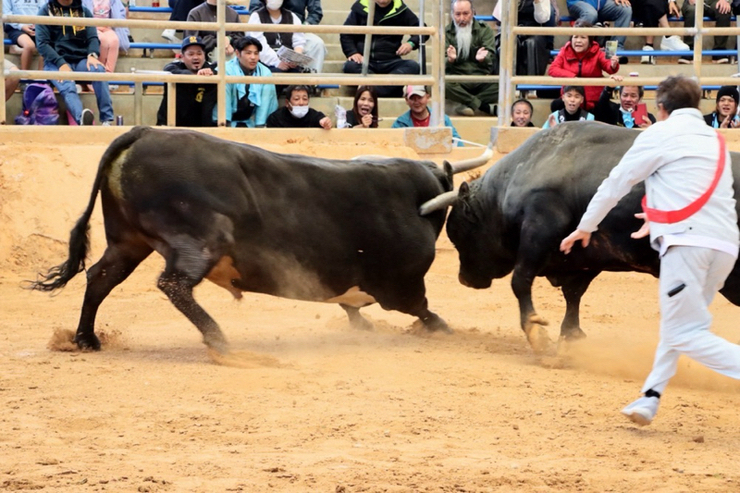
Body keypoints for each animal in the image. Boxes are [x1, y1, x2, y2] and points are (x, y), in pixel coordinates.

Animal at [33, 125, 492, 352]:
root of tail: (144, 132)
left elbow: (352, 306)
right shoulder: (402, 286)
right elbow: (423, 309)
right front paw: (444, 330)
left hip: (128, 241)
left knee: (100, 277)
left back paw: (86, 339)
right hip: (202, 238)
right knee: (173, 282)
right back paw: (218, 338)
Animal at [442, 123, 740, 354]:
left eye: (457, 233)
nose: (464, 278)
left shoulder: (540, 227)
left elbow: (521, 280)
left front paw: (537, 334)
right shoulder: (585, 257)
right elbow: (573, 294)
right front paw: (571, 337)